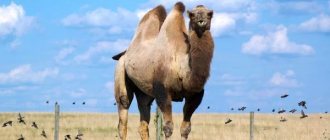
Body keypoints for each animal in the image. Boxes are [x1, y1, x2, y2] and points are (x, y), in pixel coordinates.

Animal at [114, 2, 215, 140]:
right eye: (192, 15)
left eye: (210, 14)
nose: (201, 21)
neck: (182, 68)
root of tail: (124, 53)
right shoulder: (162, 91)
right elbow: (168, 127)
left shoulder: (195, 95)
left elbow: (186, 128)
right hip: (121, 70)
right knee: (123, 109)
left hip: (144, 92)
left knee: (143, 116)